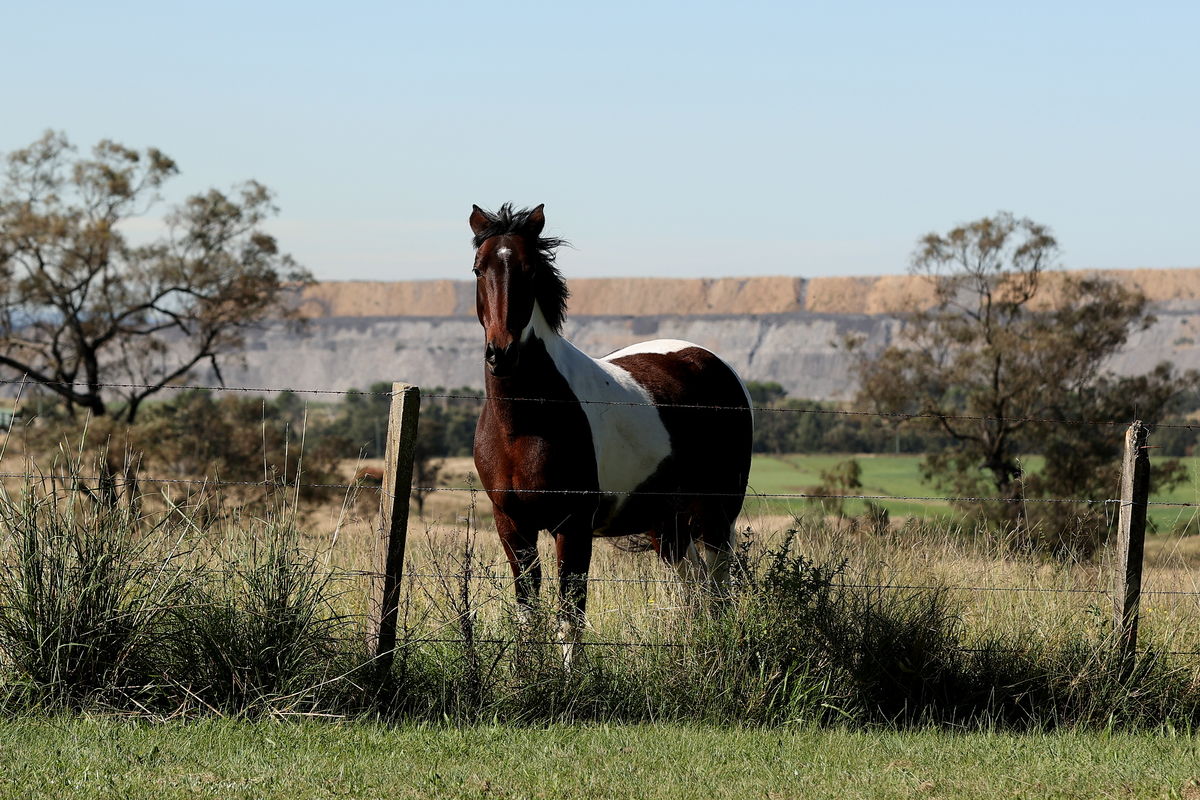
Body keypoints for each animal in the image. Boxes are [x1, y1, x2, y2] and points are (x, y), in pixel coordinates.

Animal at [468, 202, 753, 663]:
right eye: (479, 269)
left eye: (530, 270)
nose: (502, 354)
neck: (524, 425)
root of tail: (711, 362)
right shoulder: (512, 525)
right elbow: (528, 614)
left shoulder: (573, 526)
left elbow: (570, 616)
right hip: (666, 524)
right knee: (692, 586)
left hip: (716, 514)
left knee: (717, 589)